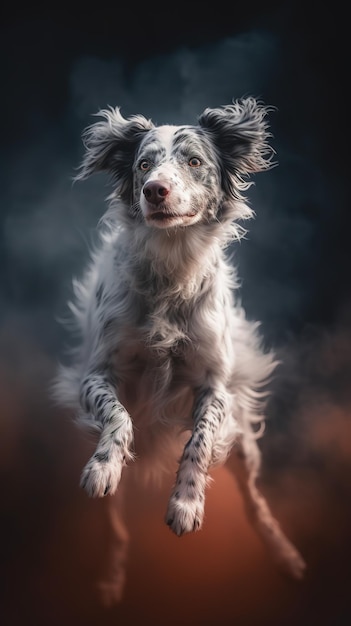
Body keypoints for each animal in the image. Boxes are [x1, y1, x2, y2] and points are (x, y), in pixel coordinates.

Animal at [53, 96, 308, 580]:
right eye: (143, 164)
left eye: (194, 161)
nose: (155, 190)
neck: (170, 269)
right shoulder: (96, 375)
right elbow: (118, 417)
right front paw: (103, 467)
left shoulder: (215, 386)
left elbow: (200, 440)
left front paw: (186, 503)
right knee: (114, 522)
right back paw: (111, 572)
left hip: (244, 446)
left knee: (254, 502)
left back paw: (284, 552)